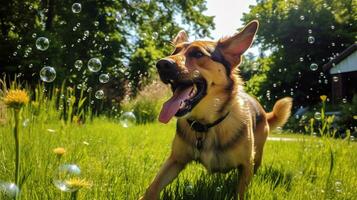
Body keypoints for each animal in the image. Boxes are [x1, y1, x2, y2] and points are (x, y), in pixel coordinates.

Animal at [138, 20, 290, 200]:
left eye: (197, 54)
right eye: (174, 51)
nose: (161, 64)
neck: (206, 125)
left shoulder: (246, 165)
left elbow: (240, 192)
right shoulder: (175, 160)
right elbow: (152, 187)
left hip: (257, 154)